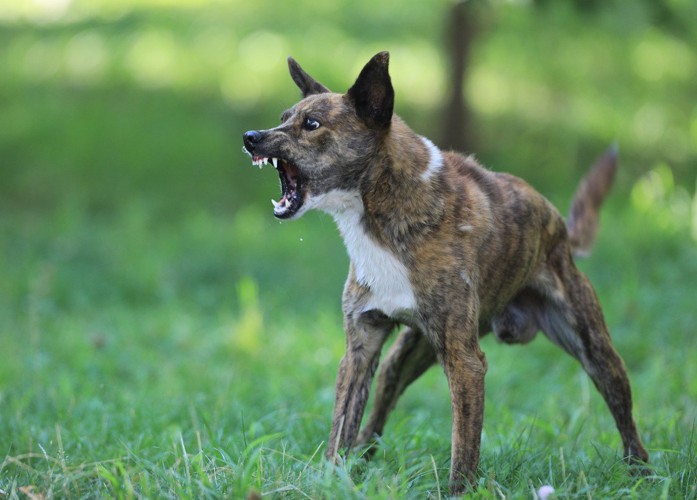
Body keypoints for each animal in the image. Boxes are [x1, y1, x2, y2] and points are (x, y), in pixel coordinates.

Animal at [242, 51, 648, 496]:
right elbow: (341, 426)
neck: (381, 209)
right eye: (284, 117)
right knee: (375, 418)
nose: (251, 137)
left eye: (312, 124)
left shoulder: (465, 362)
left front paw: (459, 491)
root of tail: (560, 230)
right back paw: (362, 460)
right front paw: (331, 481)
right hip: (404, 356)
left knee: (626, 419)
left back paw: (642, 474)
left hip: (596, 351)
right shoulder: (361, 346)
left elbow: (463, 447)